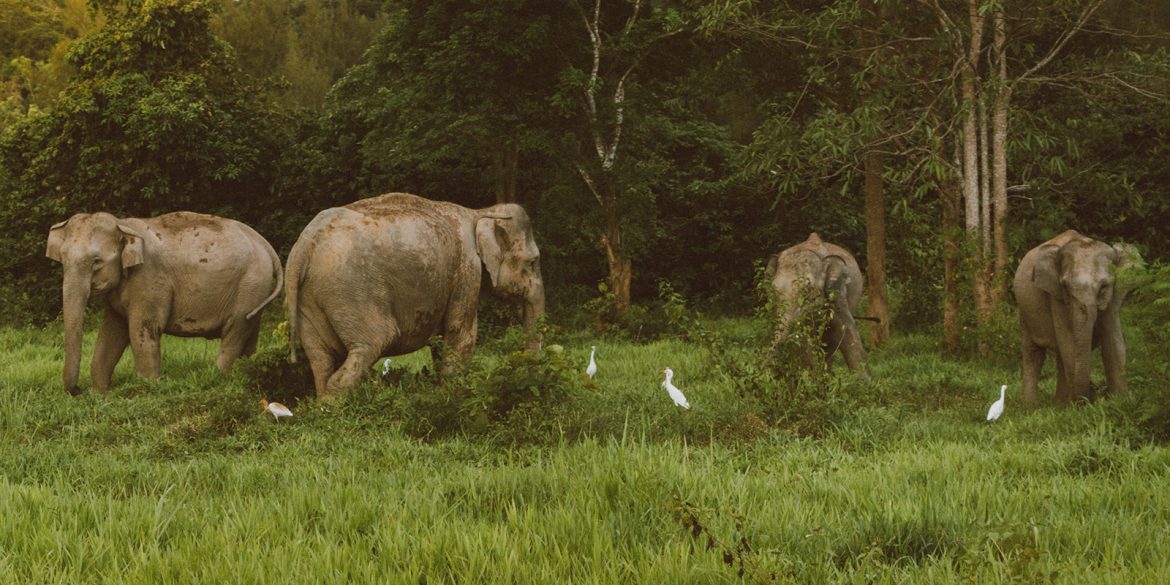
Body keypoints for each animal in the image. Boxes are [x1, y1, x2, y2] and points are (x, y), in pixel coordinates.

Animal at [46, 210, 285, 393]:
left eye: (96, 261)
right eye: (63, 259)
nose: (78, 390)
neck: (122, 225)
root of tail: (265, 244)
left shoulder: (149, 280)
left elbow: (141, 330)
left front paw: (148, 389)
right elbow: (112, 333)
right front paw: (101, 393)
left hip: (250, 284)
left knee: (235, 330)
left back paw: (217, 378)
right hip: (255, 290)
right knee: (249, 330)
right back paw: (246, 371)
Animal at [285, 191, 545, 397]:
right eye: (533, 262)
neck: (481, 211)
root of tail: (305, 243)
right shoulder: (467, 268)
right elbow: (460, 333)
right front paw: (451, 396)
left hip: (310, 297)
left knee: (320, 359)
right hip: (351, 290)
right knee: (374, 342)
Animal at [1010, 228, 1137, 402]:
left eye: (1104, 286)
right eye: (1064, 286)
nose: (1096, 390)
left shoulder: (1114, 296)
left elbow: (1114, 342)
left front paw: (1120, 400)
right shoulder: (1056, 297)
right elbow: (1069, 344)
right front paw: (1082, 403)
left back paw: (1059, 403)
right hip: (1024, 310)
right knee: (1034, 353)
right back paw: (1030, 405)